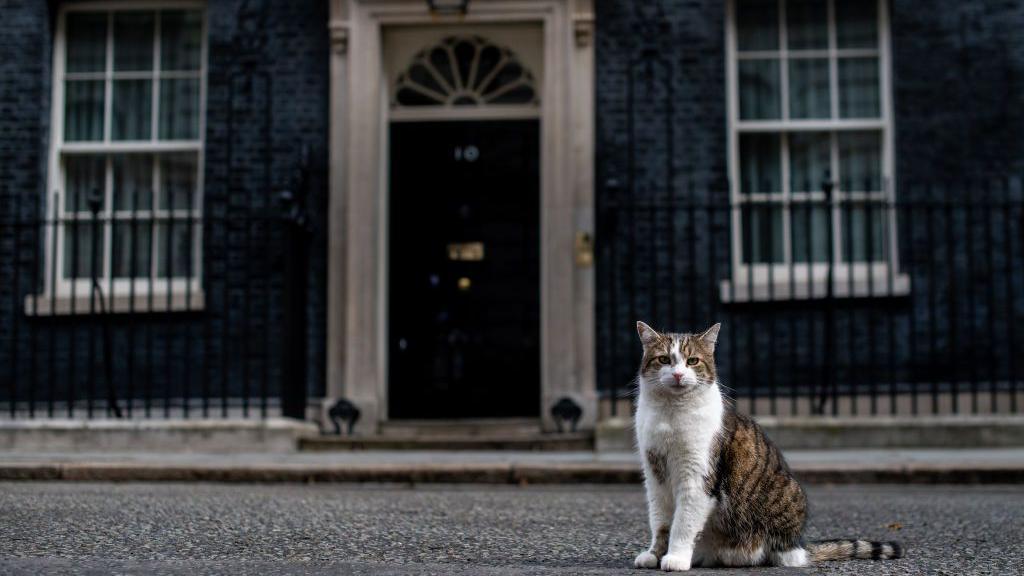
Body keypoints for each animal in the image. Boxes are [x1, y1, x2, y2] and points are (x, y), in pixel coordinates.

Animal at [630, 319, 905, 565]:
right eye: (664, 360)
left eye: (692, 361)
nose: (678, 374)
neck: (670, 413)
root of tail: (799, 545)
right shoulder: (654, 476)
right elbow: (660, 522)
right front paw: (655, 555)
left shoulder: (697, 477)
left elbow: (683, 524)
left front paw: (675, 558)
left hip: (785, 497)